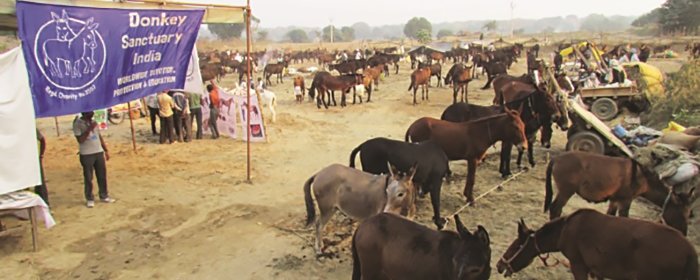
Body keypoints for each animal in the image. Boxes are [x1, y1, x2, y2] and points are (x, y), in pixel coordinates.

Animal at [494, 210, 696, 280]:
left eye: (515, 246)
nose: (499, 265)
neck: (564, 231)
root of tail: (690, 252)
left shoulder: (578, 265)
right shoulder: (598, 270)